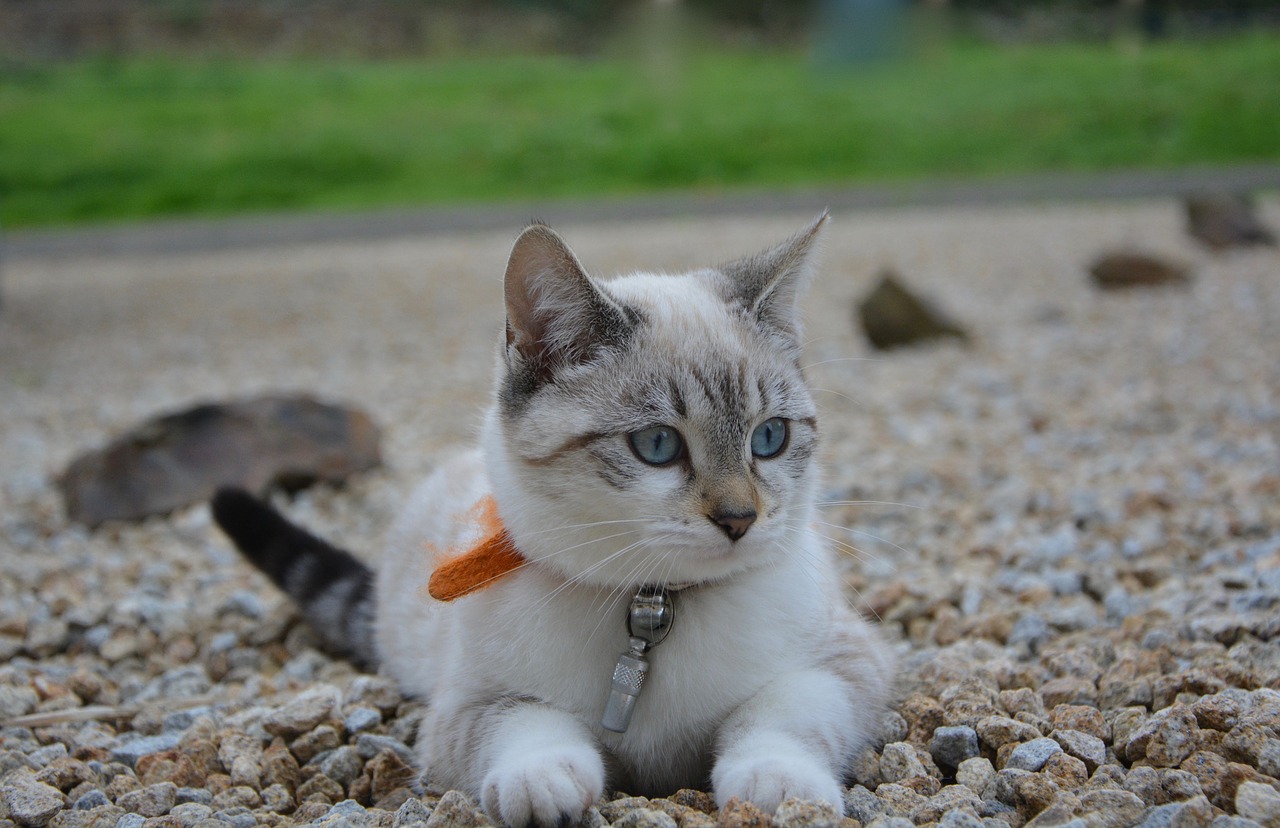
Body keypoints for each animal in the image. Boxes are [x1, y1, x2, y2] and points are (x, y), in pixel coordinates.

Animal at [212, 214, 890, 828]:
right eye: (658, 446)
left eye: (769, 438)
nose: (740, 519)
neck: (653, 606)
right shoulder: (465, 709)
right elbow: (528, 723)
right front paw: (543, 784)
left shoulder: (849, 664)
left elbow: (779, 714)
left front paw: (781, 787)